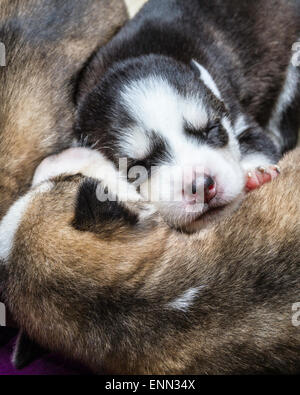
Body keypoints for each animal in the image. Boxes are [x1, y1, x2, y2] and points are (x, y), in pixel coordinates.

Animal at [74, 0, 300, 232]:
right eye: (139, 165)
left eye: (211, 129)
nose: (202, 186)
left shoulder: (238, 118)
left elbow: (257, 143)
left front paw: (256, 172)